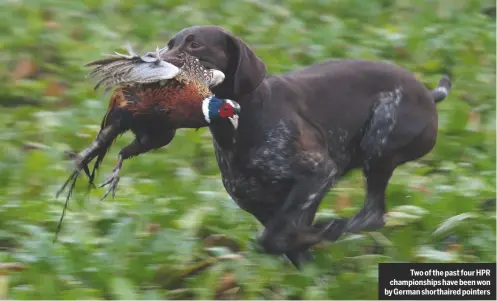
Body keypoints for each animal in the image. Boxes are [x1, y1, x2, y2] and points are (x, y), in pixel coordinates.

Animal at [162, 24, 450, 266]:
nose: (157, 62)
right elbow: (284, 243)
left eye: (195, 45)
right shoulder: (266, 204)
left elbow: (272, 239)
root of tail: (428, 94)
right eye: (169, 44)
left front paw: (324, 231)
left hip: (379, 141)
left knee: (371, 216)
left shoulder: (318, 172)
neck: (239, 124)